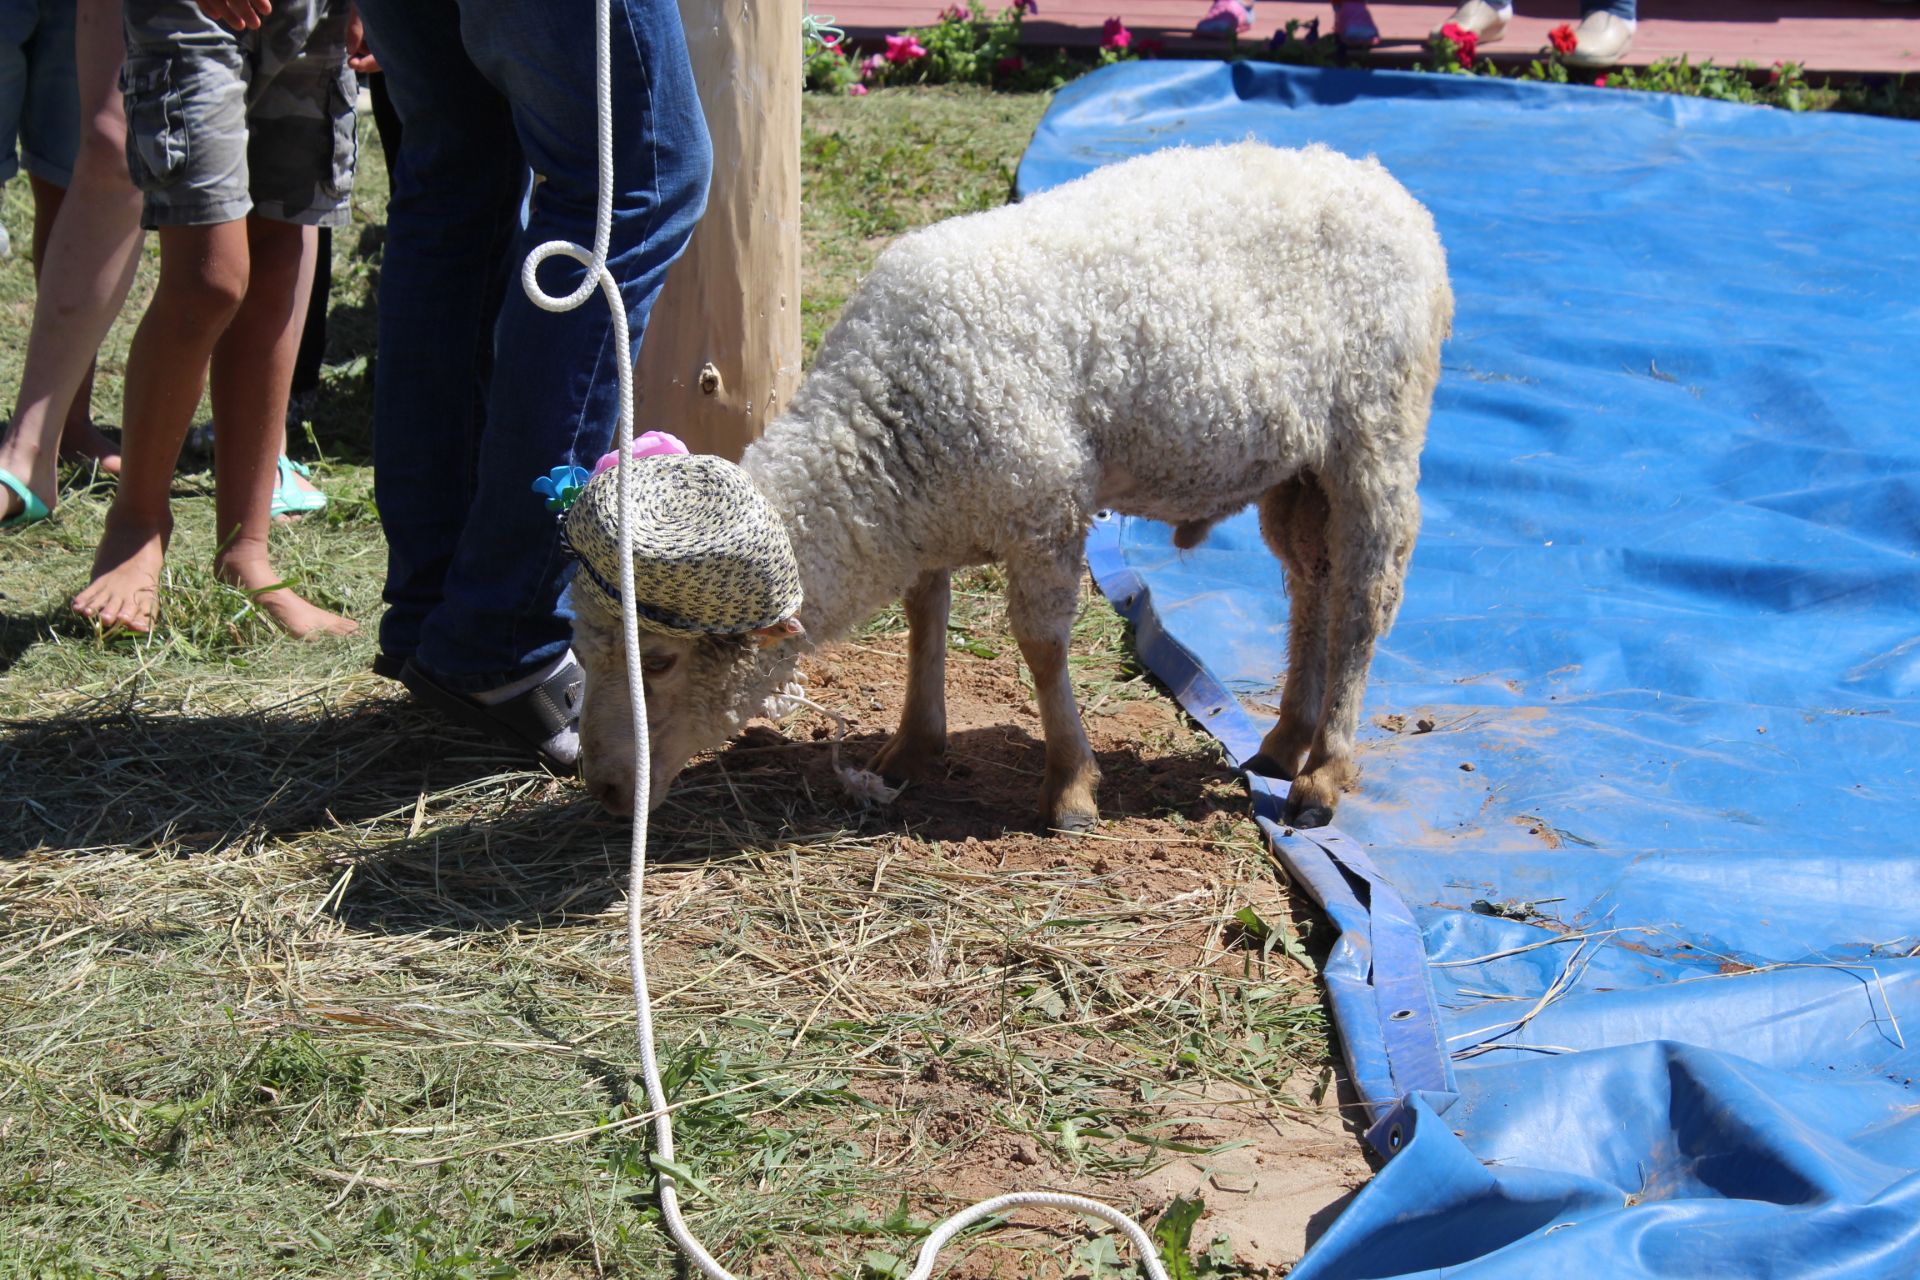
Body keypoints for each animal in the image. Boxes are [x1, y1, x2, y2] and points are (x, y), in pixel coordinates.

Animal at [576, 140, 1443, 832]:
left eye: (660, 661)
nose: (608, 791)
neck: (888, 414)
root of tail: (1381, 185)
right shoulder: (934, 516)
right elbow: (925, 618)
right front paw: (911, 746)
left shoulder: (1044, 511)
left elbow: (1042, 647)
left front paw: (1070, 787)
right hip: (1300, 472)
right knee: (1311, 588)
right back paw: (1284, 740)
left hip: (1376, 434)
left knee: (1364, 601)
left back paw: (1323, 773)